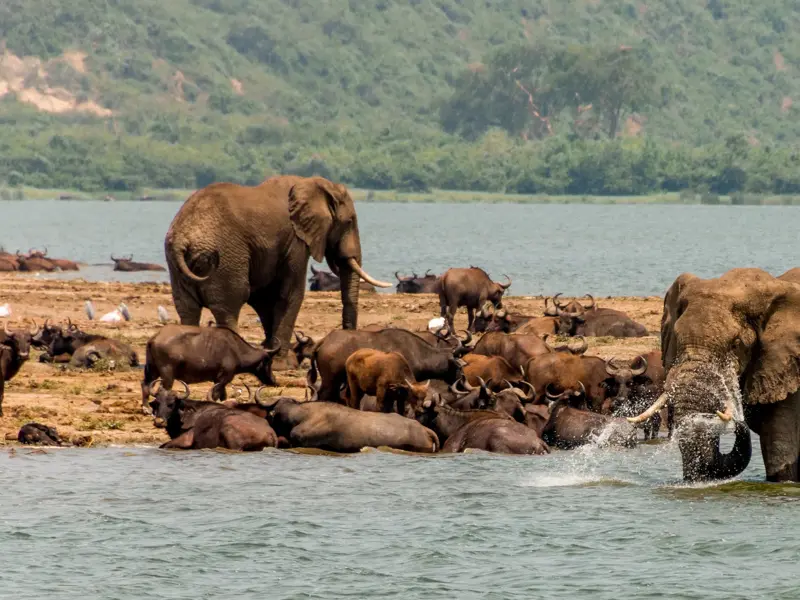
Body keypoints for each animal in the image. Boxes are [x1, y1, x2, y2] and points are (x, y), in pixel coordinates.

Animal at [164, 175, 391, 368]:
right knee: (229, 306)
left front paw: (273, 353)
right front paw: (284, 363)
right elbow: (290, 293)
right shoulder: (296, 242)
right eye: (349, 221)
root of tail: (183, 238)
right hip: (225, 258)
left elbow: (266, 298)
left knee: (187, 310)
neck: (312, 184)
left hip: (176, 265)